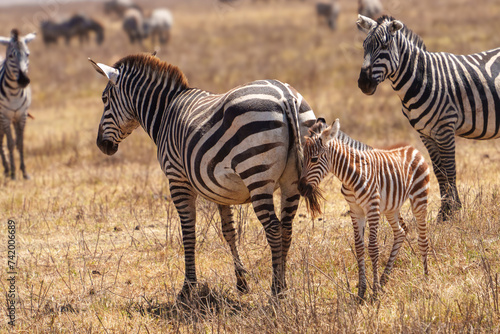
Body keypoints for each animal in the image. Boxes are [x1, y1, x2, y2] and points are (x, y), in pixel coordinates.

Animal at [89, 53, 316, 296]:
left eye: (104, 99)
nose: (101, 145)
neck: (165, 113)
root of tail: (285, 96)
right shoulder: (220, 190)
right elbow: (229, 231)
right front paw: (241, 282)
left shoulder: (177, 179)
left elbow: (188, 233)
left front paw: (188, 287)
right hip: (292, 179)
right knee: (286, 228)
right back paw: (283, 285)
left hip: (257, 175)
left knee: (273, 228)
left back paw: (276, 291)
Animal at [296, 118, 430, 302]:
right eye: (303, 159)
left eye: (315, 159)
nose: (301, 189)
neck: (349, 176)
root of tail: (412, 148)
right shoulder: (355, 210)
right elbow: (359, 247)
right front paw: (362, 292)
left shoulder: (372, 208)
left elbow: (373, 248)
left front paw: (374, 293)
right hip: (391, 207)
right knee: (401, 232)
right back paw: (384, 280)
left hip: (419, 198)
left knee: (423, 239)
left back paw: (425, 279)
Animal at [358, 14, 500, 222]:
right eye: (364, 46)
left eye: (384, 46)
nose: (363, 84)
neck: (422, 78)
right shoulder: (426, 134)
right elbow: (439, 172)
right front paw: (445, 212)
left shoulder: (445, 128)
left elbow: (450, 170)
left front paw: (453, 210)